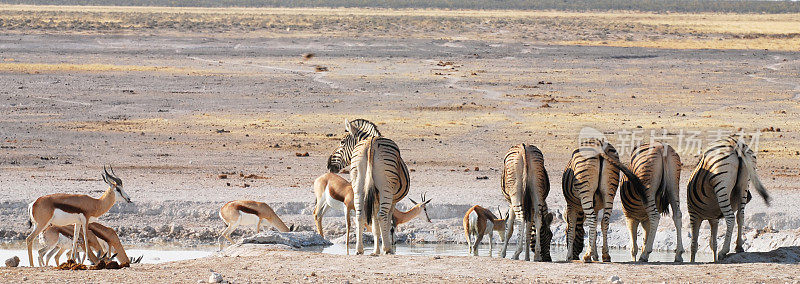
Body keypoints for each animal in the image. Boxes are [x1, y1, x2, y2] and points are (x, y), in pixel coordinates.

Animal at [326, 118, 410, 254]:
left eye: (342, 142)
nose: (328, 165)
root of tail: (371, 142)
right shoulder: (392, 201)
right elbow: (386, 223)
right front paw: (384, 248)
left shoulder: (374, 199)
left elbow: (375, 226)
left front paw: (375, 251)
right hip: (385, 189)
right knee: (381, 215)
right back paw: (387, 249)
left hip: (358, 185)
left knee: (360, 215)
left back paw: (359, 249)